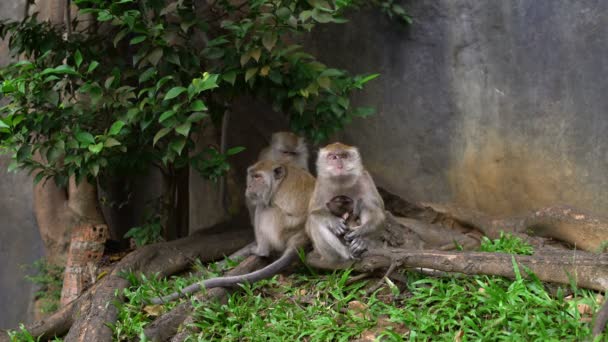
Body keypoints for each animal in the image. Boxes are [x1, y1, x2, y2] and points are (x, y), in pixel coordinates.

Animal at [150, 160, 316, 304]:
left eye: (258, 177)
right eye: (252, 175)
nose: (249, 186)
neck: (280, 181)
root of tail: (301, 236)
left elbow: (263, 205)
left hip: (279, 230)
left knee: (262, 208)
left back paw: (261, 250)